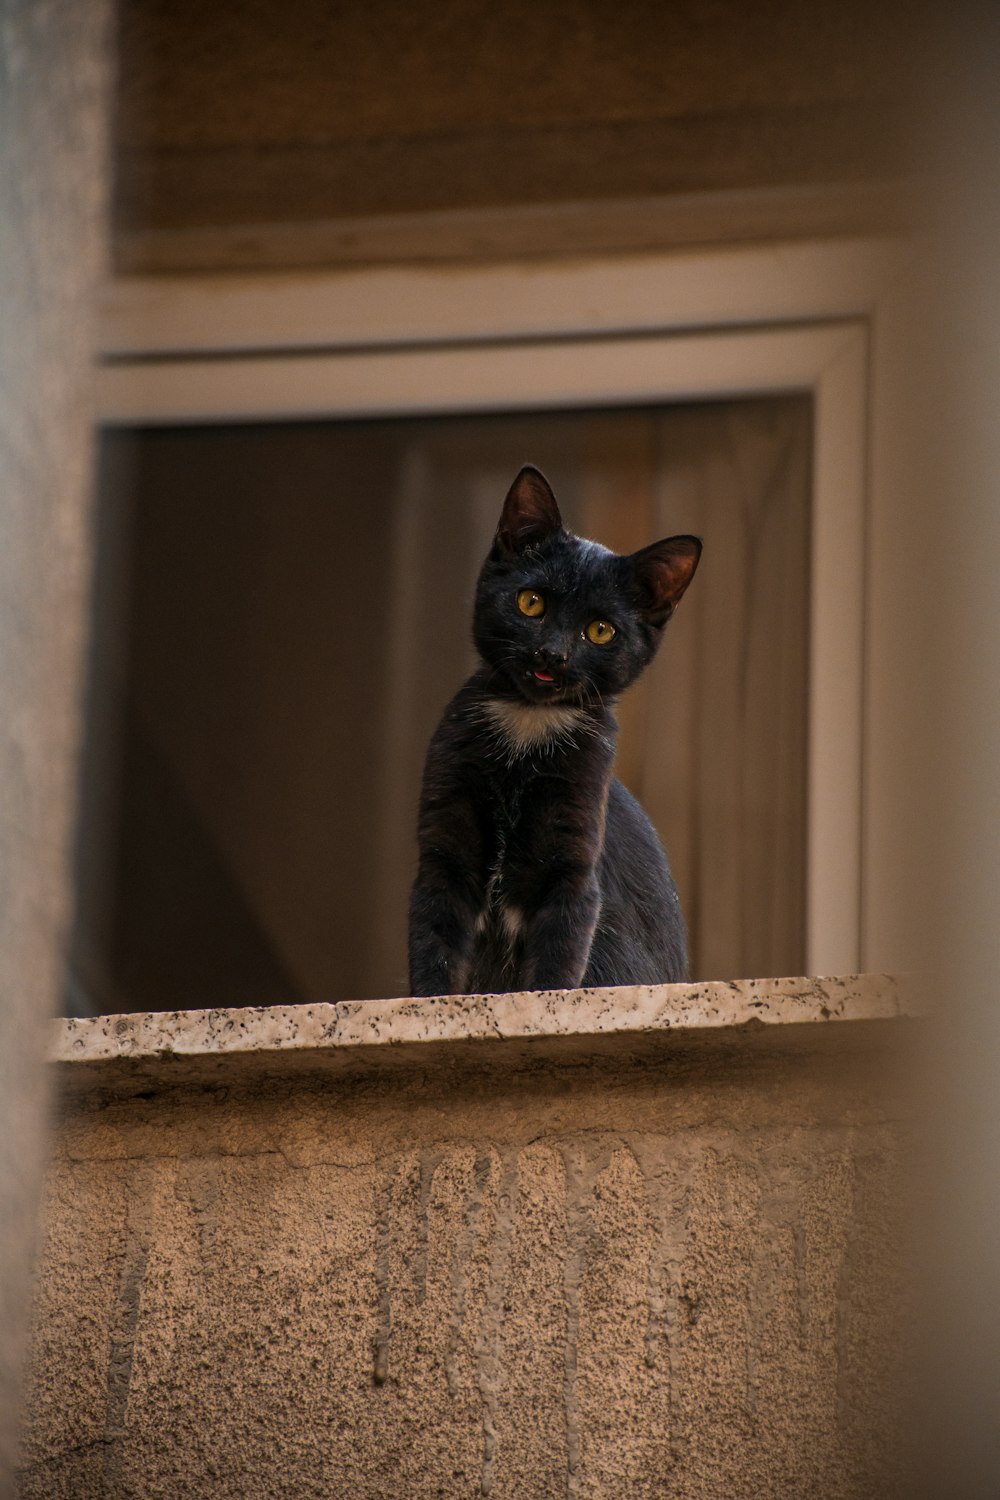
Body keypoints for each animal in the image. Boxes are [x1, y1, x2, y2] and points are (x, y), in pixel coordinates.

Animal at [407, 462, 704, 990]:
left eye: (601, 631)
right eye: (531, 603)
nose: (552, 654)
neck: (528, 725)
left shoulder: (574, 860)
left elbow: (557, 959)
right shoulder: (444, 851)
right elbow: (434, 946)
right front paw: (427, 1002)